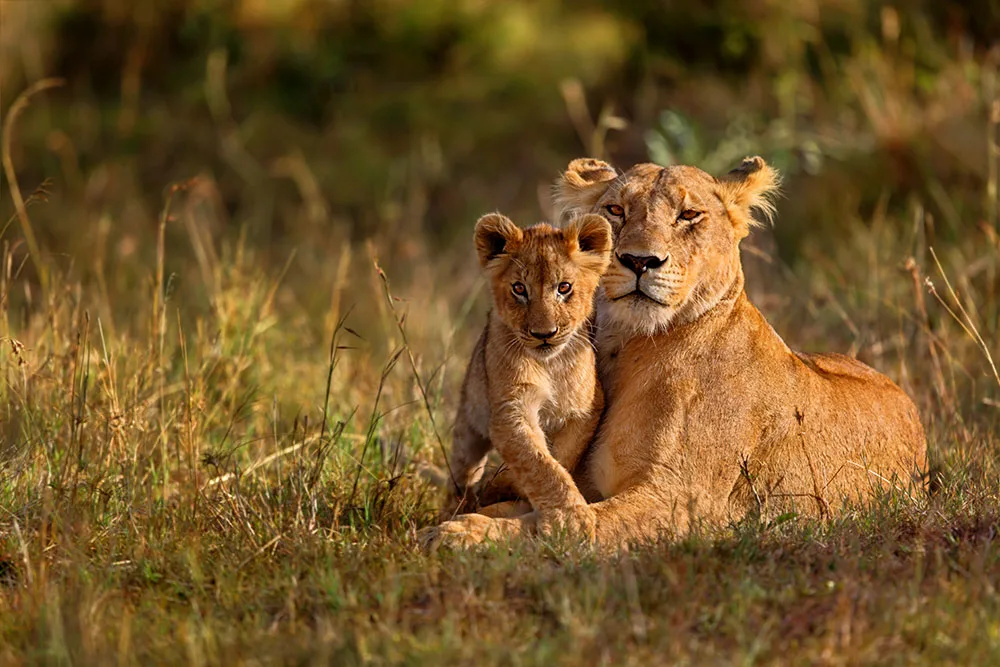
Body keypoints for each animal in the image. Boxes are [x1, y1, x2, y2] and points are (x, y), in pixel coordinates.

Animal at [441, 212, 612, 529]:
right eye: (519, 289)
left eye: (564, 288)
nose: (544, 334)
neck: (550, 364)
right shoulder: (510, 410)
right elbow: (539, 463)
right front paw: (570, 518)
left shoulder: (585, 410)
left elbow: (560, 458)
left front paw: (509, 486)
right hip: (468, 425)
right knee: (462, 472)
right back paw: (455, 507)